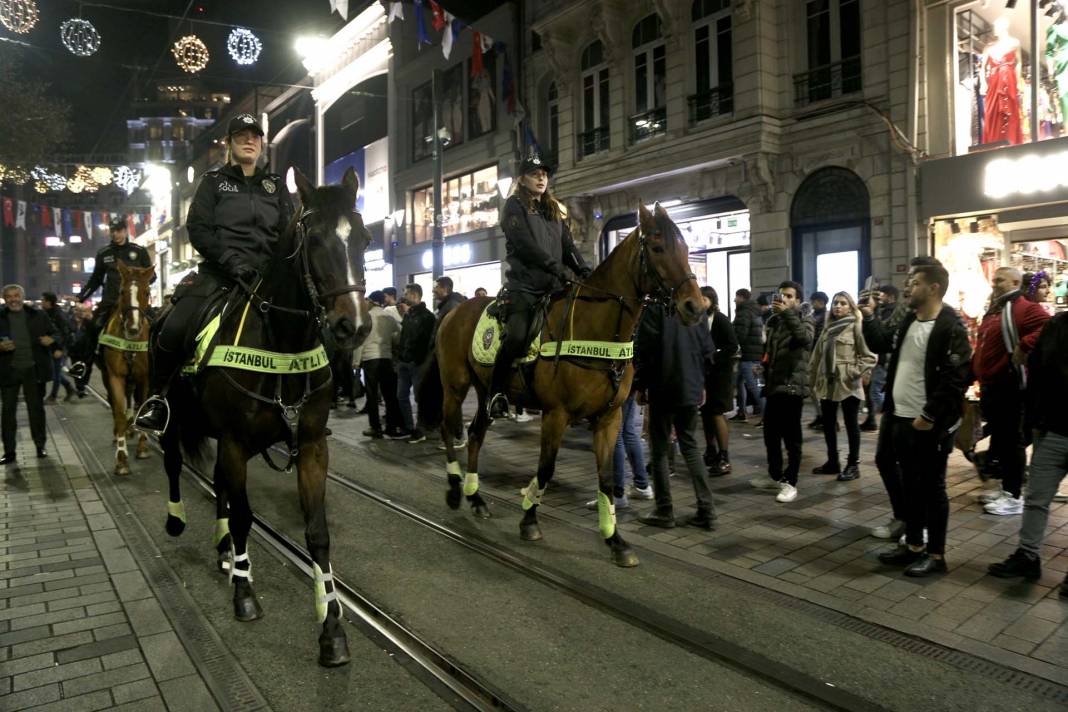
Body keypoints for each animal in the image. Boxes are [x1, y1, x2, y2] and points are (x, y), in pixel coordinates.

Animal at [100, 261, 154, 473]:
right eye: (122, 291)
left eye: (147, 292)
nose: (133, 328)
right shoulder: (115, 377)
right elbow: (119, 412)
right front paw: (122, 459)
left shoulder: (145, 378)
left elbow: (142, 407)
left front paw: (143, 447)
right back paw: (120, 433)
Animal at [154, 168, 371, 670]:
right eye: (314, 240)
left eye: (364, 238)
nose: (353, 326)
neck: (283, 343)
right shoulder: (234, 442)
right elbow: (244, 517)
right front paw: (244, 594)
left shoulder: (311, 447)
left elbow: (317, 534)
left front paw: (332, 630)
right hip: (173, 417)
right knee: (174, 462)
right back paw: (179, 522)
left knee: (217, 484)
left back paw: (223, 553)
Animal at [420, 201, 704, 567]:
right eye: (657, 248)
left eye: (684, 248)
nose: (695, 306)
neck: (595, 329)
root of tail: (453, 312)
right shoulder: (556, 414)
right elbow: (546, 468)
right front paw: (528, 518)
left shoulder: (608, 418)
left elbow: (607, 477)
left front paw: (615, 539)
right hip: (455, 386)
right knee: (448, 427)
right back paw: (455, 490)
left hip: (485, 391)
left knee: (476, 433)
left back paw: (476, 498)